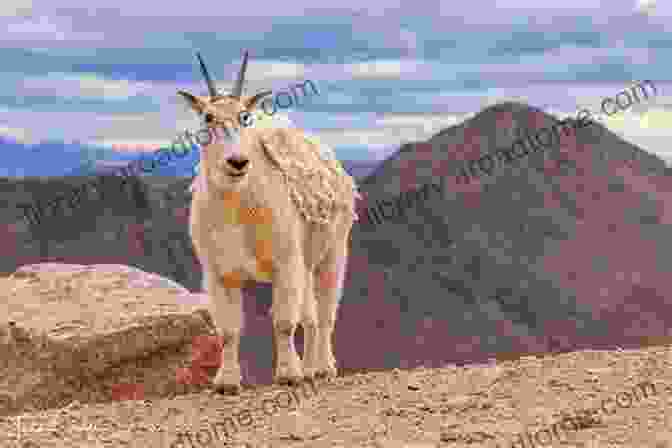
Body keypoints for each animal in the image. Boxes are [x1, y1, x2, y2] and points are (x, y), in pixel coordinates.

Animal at [176, 51, 360, 392]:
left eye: (245, 117)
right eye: (207, 117)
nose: (237, 162)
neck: (237, 208)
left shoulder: (285, 262)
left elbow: (284, 322)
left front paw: (288, 375)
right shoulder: (220, 273)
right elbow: (229, 330)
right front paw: (226, 382)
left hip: (334, 250)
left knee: (326, 313)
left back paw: (324, 368)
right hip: (307, 262)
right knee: (311, 316)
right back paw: (312, 368)